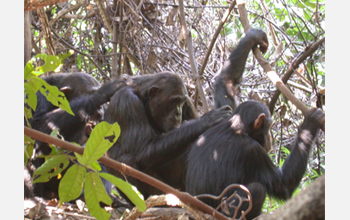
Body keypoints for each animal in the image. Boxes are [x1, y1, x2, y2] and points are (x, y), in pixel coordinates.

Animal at [102, 72, 232, 199]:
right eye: (174, 101)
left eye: (181, 102)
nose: (178, 112)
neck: (143, 99)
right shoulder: (128, 102)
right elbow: (141, 149)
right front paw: (206, 120)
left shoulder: (187, 102)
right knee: (127, 161)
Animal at [185, 28, 324, 219]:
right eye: (269, 127)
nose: (269, 140)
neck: (237, 127)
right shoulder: (253, 152)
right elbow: (283, 184)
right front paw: (311, 122)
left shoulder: (226, 111)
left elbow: (226, 81)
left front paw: (253, 37)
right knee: (257, 189)